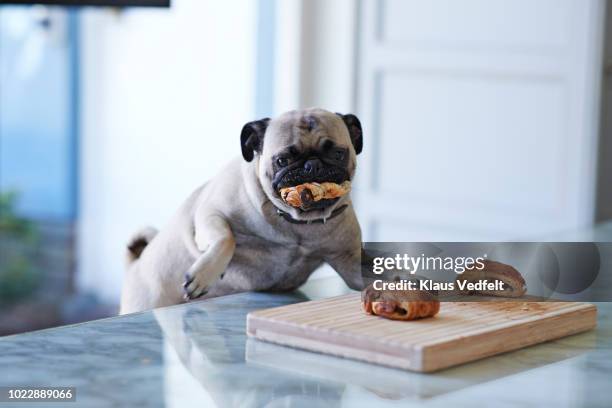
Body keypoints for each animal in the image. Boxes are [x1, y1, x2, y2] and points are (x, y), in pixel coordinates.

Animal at [122, 107, 366, 314]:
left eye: (338, 154)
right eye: (282, 160)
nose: (312, 165)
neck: (295, 225)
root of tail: (135, 265)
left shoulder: (348, 261)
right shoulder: (210, 213)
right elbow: (226, 238)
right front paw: (204, 275)